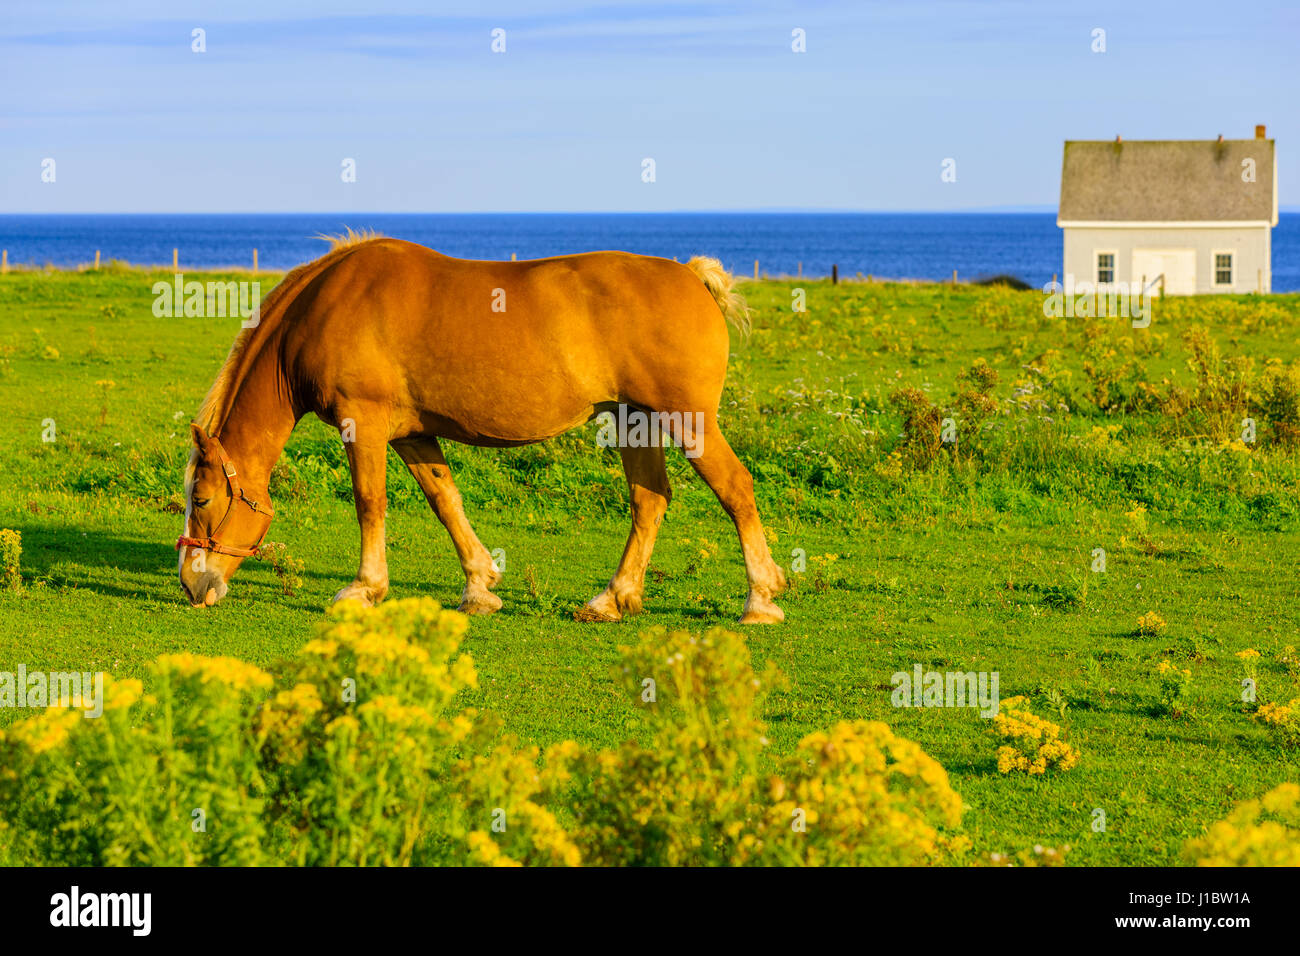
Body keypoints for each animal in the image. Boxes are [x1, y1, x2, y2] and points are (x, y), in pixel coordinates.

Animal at [177, 232, 787, 623]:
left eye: (201, 499)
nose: (190, 583)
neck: (326, 306)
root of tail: (691, 276)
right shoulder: (412, 434)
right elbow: (446, 501)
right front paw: (479, 586)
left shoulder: (363, 424)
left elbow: (370, 504)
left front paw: (364, 588)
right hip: (633, 419)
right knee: (649, 500)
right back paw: (612, 599)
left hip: (689, 422)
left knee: (736, 490)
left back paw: (760, 599)